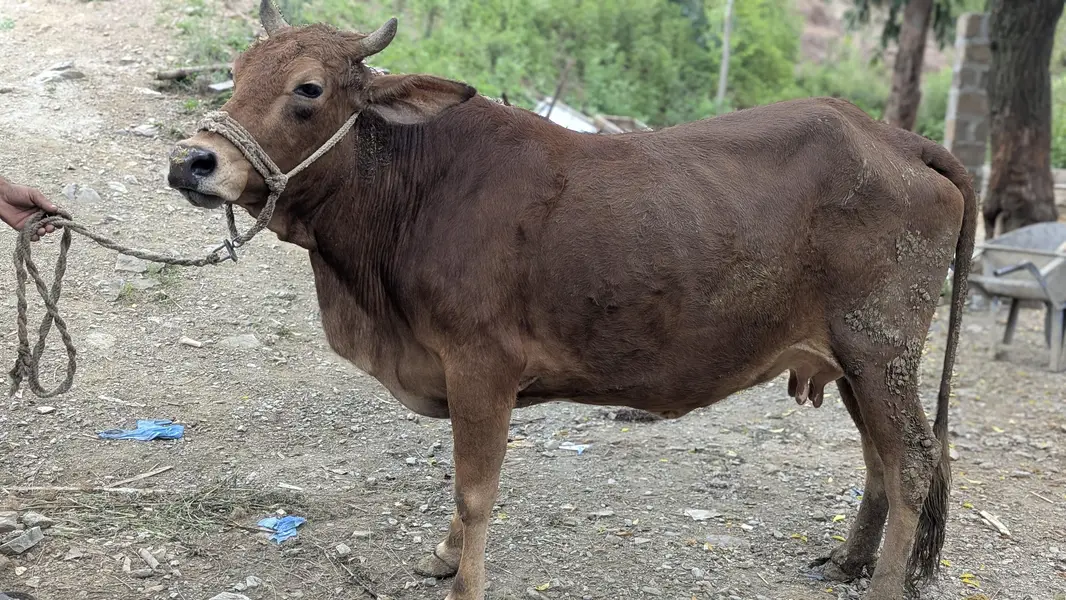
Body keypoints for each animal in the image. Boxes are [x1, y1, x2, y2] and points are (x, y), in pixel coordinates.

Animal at [165, 2, 977, 598]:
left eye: (309, 88)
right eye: (235, 71)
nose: (192, 162)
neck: (411, 189)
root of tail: (898, 138)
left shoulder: (482, 365)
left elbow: (476, 489)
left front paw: (465, 580)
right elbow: (459, 481)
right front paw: (444, 556)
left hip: (881, 349)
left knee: (913, 461)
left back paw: (884, 585)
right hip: (853, 359)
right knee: (881, 459)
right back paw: (849, 563)